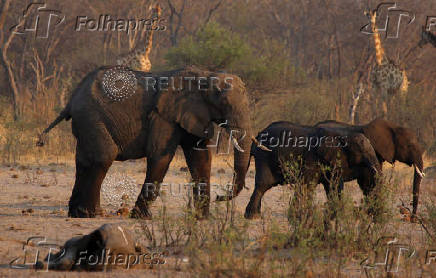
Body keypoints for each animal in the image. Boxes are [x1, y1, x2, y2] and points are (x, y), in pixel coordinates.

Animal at [40, 65, 255, 219]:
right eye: (224, 103)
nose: (221, 197)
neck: (206, 74)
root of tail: (71, 99)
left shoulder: (192, 114)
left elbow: (200, 159)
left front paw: (203, 219)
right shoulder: (164, 116)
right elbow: (160, 156)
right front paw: (141, 217)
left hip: (86, 122)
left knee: (84, 161)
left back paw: (76, 214)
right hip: (91, 116)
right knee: (103, 156)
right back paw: (92, 214)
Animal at [244, 121, 380, 219]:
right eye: (362, 151)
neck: (342, 135)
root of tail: (258, 134)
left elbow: (333, 186)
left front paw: (334, 216)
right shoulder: (313, 158)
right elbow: (307, 184)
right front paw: (297, 217)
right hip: (264, 156)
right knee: (263, 184)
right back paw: (252, 216)